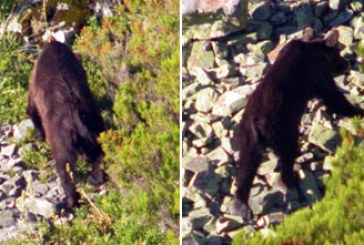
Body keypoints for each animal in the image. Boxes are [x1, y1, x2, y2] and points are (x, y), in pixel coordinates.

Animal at [26, 40, 106, 207]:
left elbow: (32, 110)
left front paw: (38, 134)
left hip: (62, 138)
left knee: (64, 168)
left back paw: (70, 200)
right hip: (94, 124)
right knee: (100, 151)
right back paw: (94, 177)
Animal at [235, 28, 362, 218]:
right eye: (338, 53)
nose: (347, 63)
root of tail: (255, 125)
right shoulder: (318, 74)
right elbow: (333, 97)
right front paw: (358, 111)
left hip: (247, 140)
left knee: (246, 166)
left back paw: (241, 206)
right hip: (282, 130)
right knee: (287, 153)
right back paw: (291, 180)